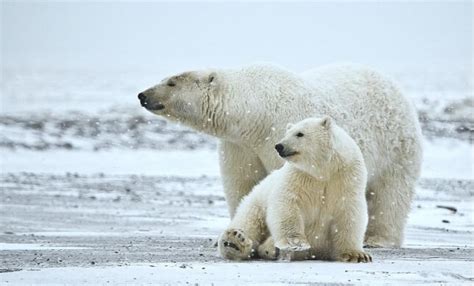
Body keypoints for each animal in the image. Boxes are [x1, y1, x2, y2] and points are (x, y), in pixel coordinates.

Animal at [137, 63, 422, 247]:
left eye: (172, 81)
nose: (142, 95)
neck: (256, 113)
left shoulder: (280, 133)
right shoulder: (240, 145)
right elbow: (243, 184)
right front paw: (238, 232)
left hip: (396, 146)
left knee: (390, 194)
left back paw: (378, 239)